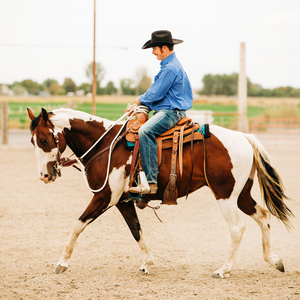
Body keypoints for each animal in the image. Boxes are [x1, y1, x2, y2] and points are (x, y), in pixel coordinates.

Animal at [26, 106, 292, 278]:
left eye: (45, 140)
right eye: (32, 141)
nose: (44, 176)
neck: (104, 144)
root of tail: (244, 137)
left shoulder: (104, 197)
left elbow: (77, 225)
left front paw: (62, 262)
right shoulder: (123, 201)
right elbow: (136, 230)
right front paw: (147, 263)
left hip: (225, 195)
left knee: (237, 228)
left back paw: (223, 269)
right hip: (242, 195)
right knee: (263, 217)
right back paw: (274, 260)